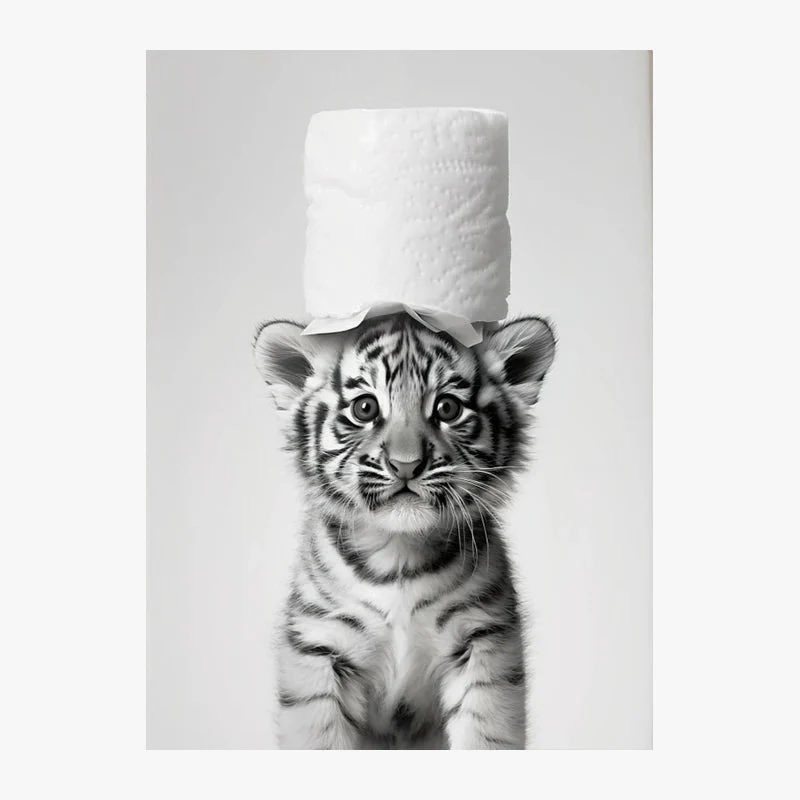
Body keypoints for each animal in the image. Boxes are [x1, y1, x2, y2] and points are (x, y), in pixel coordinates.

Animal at [253, 312, 556, 749]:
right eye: (365, 408)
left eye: (447, 408)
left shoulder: (484, 643)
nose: (406, 464)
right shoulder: (319, 647)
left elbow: (485, 735)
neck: (398, 553)